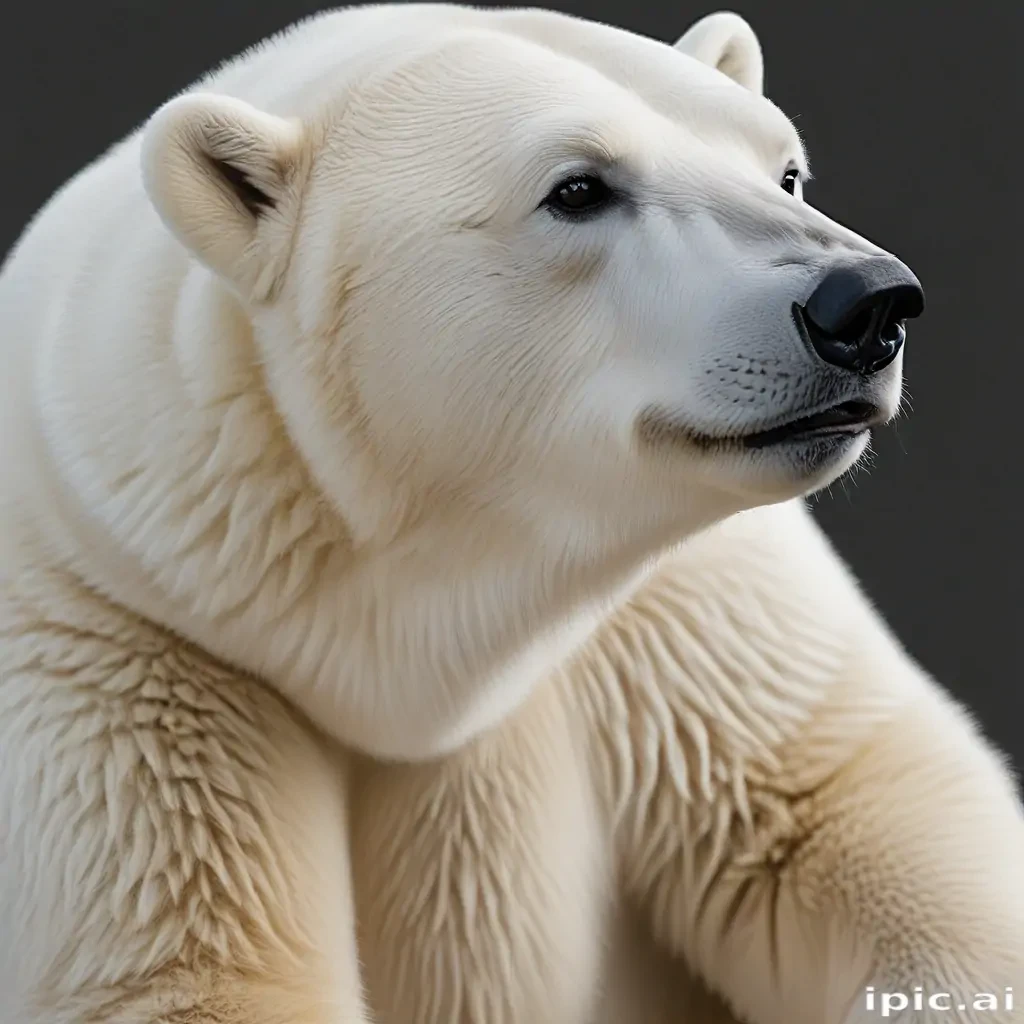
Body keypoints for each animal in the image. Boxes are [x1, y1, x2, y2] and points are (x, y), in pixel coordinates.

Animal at [0, 3, 1019, 1024]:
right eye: (578, 188)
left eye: (787, 171)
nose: (867, 304)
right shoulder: (130, 647)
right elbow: (185, 968)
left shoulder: (689, 622)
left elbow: (850, 812)